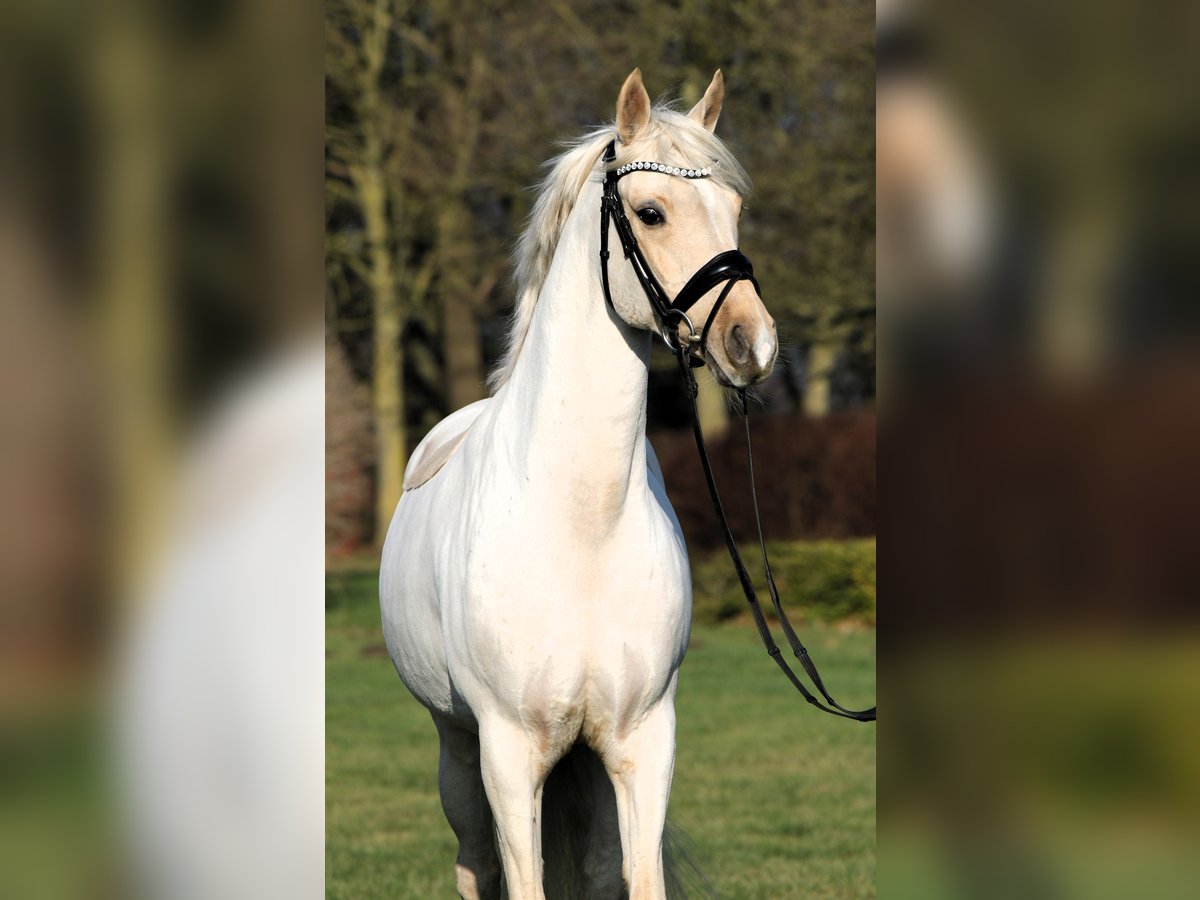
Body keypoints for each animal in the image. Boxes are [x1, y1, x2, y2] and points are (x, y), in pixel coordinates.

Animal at [381, 72, 777, 900]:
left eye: (733, 207)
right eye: (651, 212)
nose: (751, 344)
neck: (580, 523)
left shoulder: (642, 740)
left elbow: (635, 875)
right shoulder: (508, 754)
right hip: (457, 751)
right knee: (475, 864)